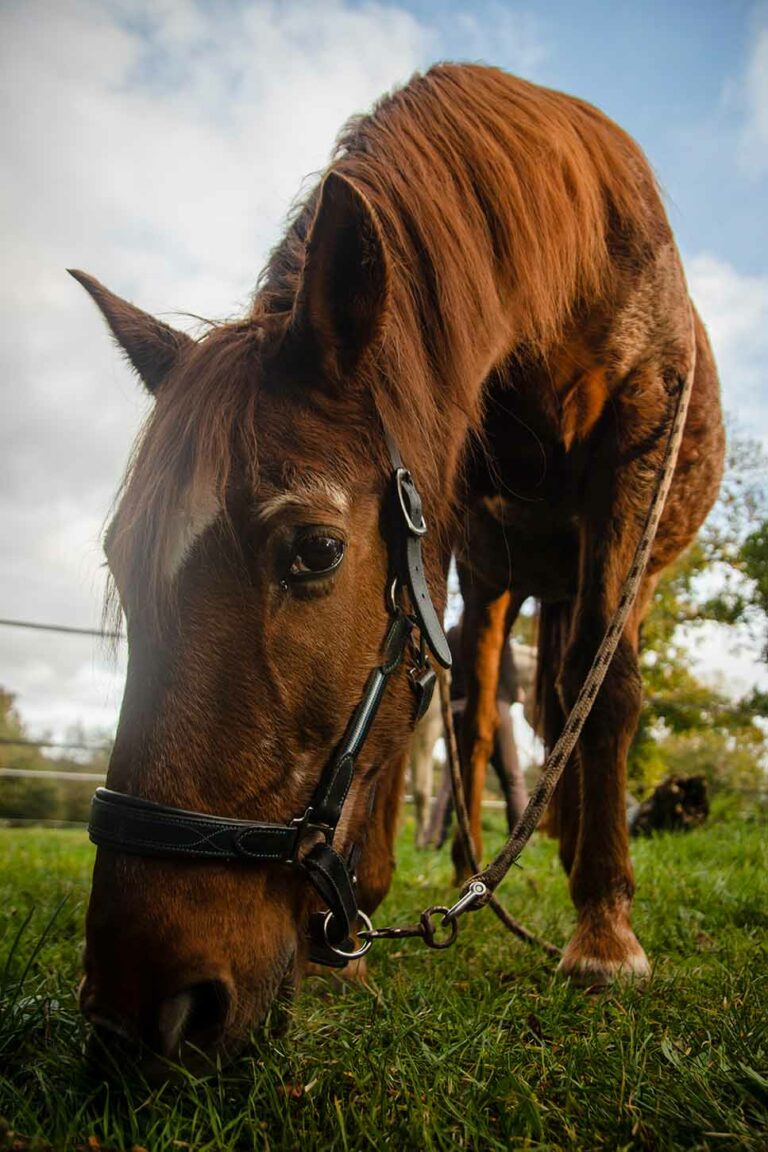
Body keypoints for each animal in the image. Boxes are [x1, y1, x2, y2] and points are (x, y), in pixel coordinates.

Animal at [72, 63, 724, 1074]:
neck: (580, 250)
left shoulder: (638, 433)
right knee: (483, 713)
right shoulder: (444, 477)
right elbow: (430, 699)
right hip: (503, 586)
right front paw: (356, 934)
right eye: (120, 559)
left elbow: (606, 689)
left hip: (627, 571)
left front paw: (606, 935)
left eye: (315, 550)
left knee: (577, 692)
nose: (133, 1016)